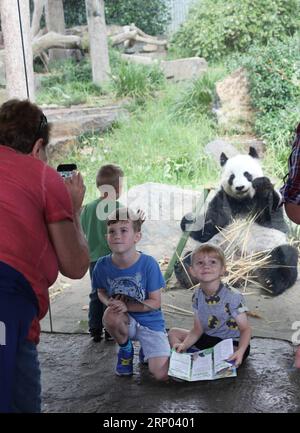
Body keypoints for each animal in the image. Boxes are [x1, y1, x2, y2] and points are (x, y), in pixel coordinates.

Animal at [176, 147, 298, 296]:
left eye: (247, 174)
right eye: (232, 177)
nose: (240, 187)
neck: (242, 200)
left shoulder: (270, 207)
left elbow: (270, 215)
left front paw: (262, 187)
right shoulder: (223, 199)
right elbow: (211, 225)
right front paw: (188, 221)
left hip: (268, 248)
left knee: (284, 258)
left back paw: (272, 283)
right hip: (216, 249)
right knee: (192, 258)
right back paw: (185, 273)